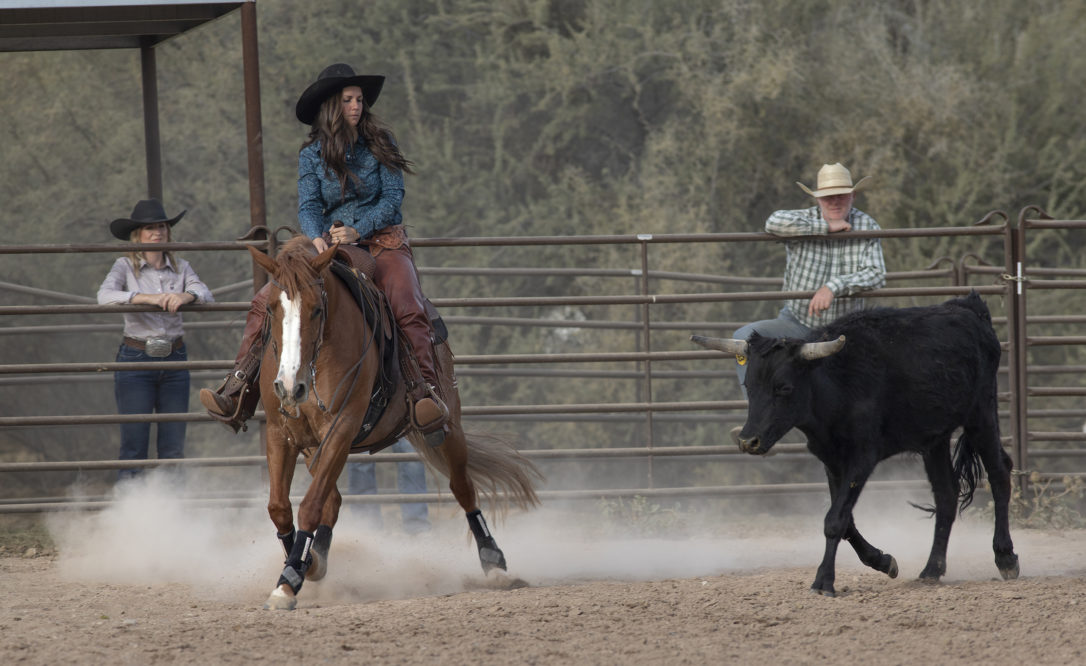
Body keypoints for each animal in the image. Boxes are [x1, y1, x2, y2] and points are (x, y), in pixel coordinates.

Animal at [692, 292, 1019, 596]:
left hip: (981, 413)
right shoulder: (831, 460)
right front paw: (883, 561)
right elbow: (846, 520)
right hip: (934, 438)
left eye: (783, 388)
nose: (748, 440)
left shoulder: (862, 458)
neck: (835, 384)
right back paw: (932, 568)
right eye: (748, 385)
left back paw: (1005, 557)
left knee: (999, 473)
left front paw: (824, 581)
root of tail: (969, 307)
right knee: (946, 494)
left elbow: (835, 520)